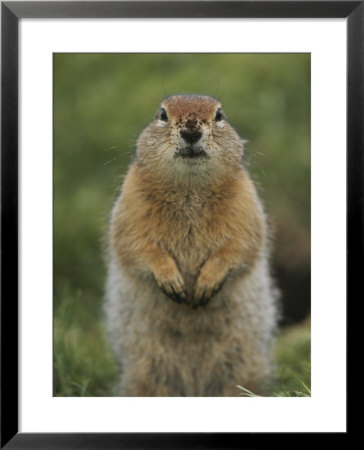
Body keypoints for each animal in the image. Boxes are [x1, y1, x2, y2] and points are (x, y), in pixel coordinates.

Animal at [105, 95, 278, 398]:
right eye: (162, 114)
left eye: (219, 115)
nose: (191, 131)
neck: (189, 190)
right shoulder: (131, 206)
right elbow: (137, 246)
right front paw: (171, 280)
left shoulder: (246, 208)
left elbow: (239, 248)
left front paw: (205, 283)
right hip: (148, 369)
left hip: (240, 365)